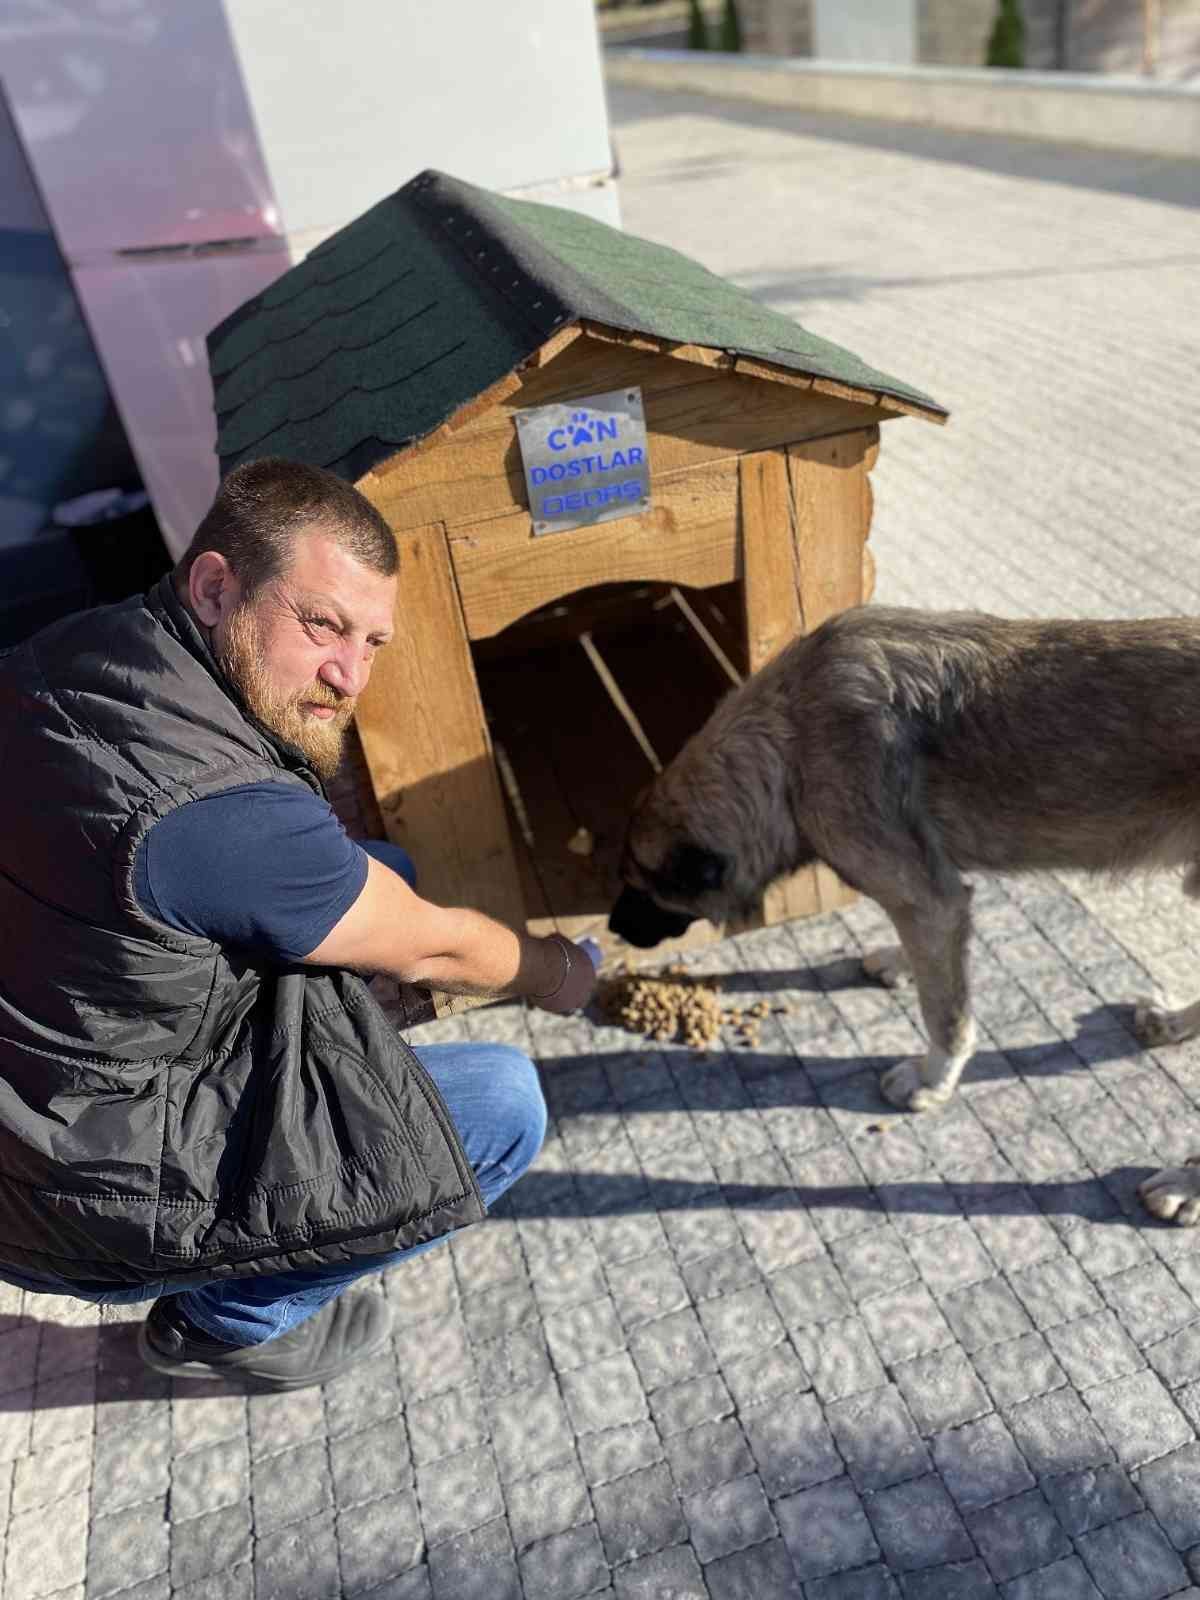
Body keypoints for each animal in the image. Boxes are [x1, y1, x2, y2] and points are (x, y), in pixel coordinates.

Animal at [614, 604, 1200, 1228]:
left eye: (639, 884)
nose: (613, 928)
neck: (789, 743)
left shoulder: (932, 902)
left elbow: (945, 1014)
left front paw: (933, 1078)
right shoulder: (928, 896)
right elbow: (927, 963)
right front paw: (899, 962)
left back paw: (1187, 1181)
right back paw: (1174, 1024)